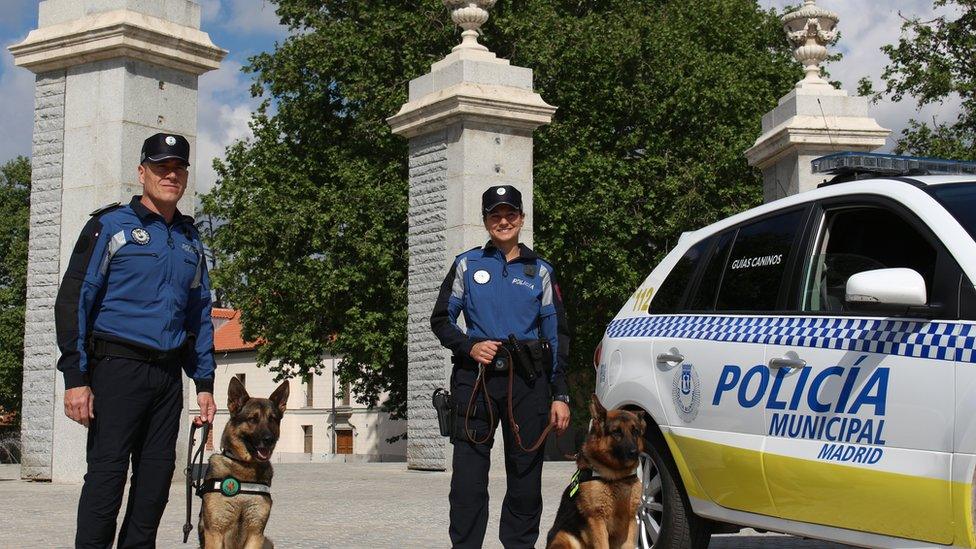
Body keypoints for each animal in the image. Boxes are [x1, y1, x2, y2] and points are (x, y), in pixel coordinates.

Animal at [198, 376, 288, 548]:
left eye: (272, 419)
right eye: (252, 419)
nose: (269, 440)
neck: (245, 467)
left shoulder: (256, 534)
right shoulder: (214, 533)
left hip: (267, 542)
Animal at [548, 394, 648, 548]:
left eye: (635, 432)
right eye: (616, 432)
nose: (635, 453)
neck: (617, 476)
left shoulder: (630, 522)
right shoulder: (597, 520)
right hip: (564, 537)